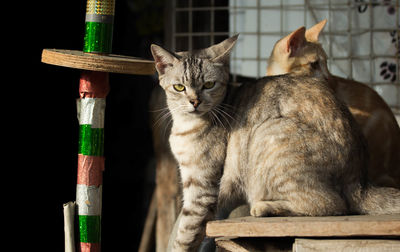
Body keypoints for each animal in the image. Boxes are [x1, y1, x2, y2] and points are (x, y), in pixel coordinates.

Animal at [150, 36, 400, 252]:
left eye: (209, 84)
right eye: (179, 87)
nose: (195, 101)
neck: (185, 126)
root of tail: (360, 180)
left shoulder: (201, 190)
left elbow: (184, 234)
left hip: (269, 133)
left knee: (332, 205)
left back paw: (264, 207)